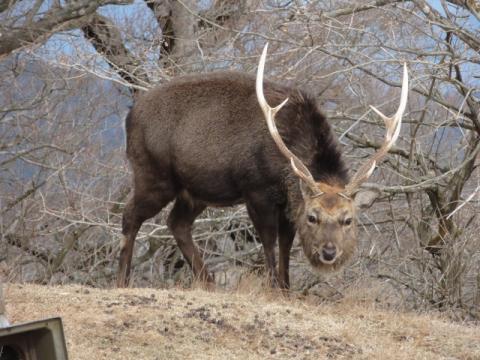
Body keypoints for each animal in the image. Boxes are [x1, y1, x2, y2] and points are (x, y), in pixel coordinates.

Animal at [117, 43, 408, 290]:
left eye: (348, 219)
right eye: (313, 217)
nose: (328, 252)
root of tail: (129, 116)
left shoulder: (288, 201)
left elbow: (286, 244)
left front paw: (287, 288)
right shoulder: (256, 189)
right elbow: (268, 240)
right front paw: (273, 287)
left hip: (195, 190)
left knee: (176, 223)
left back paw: (208, 282)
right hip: (153, 173)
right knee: (130, 214)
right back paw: (122, 279)